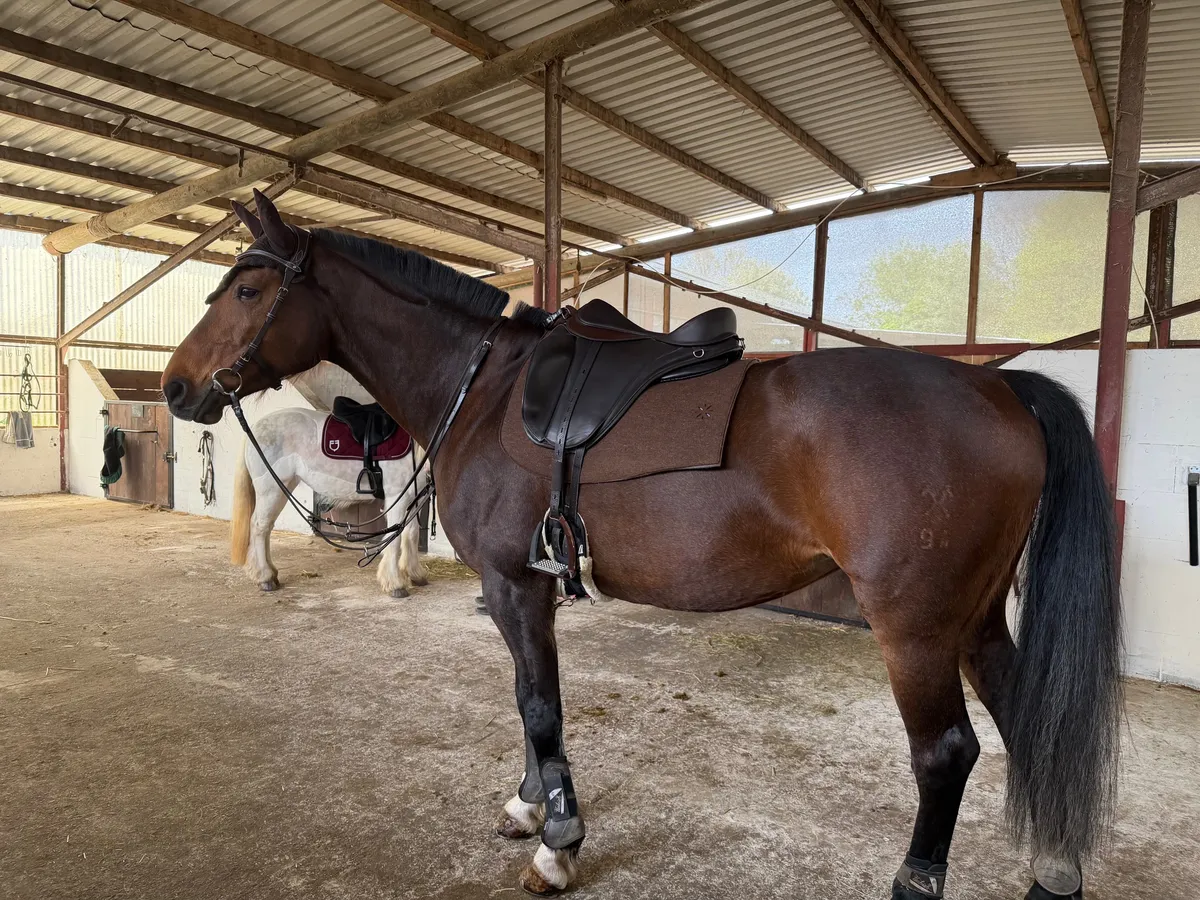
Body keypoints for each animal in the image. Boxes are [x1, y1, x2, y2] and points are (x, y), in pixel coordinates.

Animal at [229, 405, 430, 598]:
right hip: (270, 489)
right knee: (259, 527)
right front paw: (395, 584)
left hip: (282, 487)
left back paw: (271, 573)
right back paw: (265, 577)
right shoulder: (397, 496)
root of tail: (254, 428)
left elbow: (411, 534)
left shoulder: (413, 497)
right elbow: (395, 538)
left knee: (267, 527)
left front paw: (415, 574)